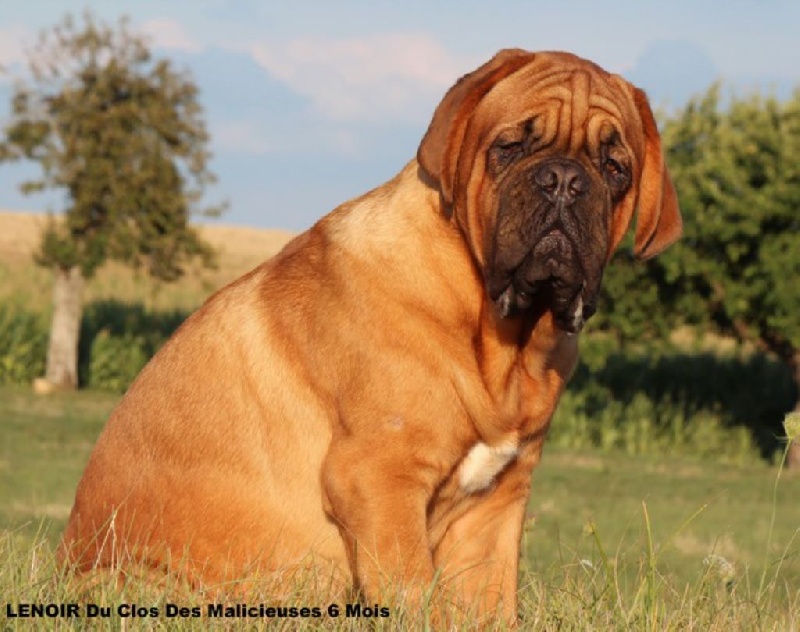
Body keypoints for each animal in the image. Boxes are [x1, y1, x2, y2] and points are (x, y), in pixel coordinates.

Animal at [59, 47, 680, 624]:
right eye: (511, 146)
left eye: (615, 167)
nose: (565, 181)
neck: (498, 336)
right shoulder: (380, 478)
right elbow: (413, 594)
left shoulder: (496, 506)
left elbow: (490, 604)